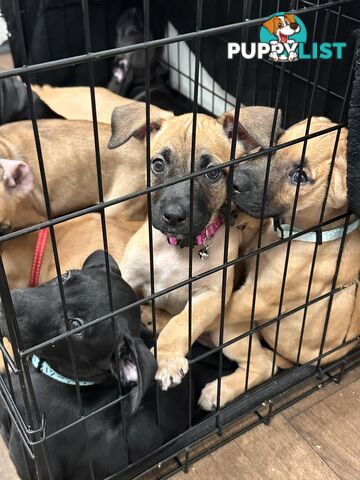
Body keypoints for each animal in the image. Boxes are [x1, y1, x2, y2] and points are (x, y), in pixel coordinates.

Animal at [109, 103, 278, 396]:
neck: (179, 248)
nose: (173, 216)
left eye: (212, 173)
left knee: (264, 364)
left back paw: (217, 393)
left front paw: (167, 359)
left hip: (227, 332)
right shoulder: (130, 276)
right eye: (158, 164)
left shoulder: (211, 295)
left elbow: (181, 324)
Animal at [197, 118, 360, 410]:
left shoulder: (252, 299)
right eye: (278, 142)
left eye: (300, 177)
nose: (234, 179)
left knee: (266, 366)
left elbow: (218, 308)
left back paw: (220, 391)